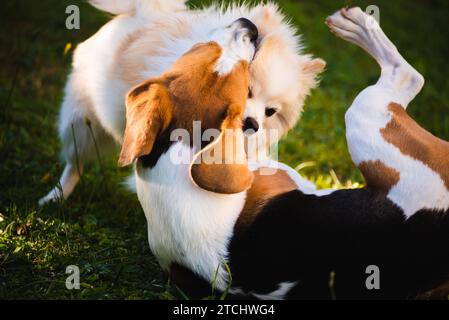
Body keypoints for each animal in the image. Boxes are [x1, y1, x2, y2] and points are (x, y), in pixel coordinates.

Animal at [116, 7, 448, 298]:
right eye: (242, 75)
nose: (248, 26)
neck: (176, 154)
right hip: (366, 115)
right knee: (407, 76)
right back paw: (356, 25)